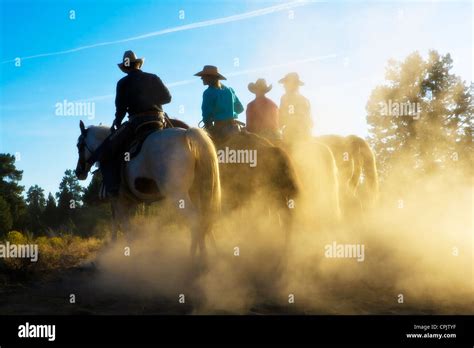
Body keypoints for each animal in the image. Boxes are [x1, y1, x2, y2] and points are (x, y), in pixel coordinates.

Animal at [74, 120, 222, 258]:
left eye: (79, 145)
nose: (78, 172)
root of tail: (185, 134)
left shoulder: (118, 201)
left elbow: (124, 227)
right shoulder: (127, 203)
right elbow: (121, 225)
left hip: (179, 196)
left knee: (195, 220)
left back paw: (195, 255)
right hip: (195, 192)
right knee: (204, 218)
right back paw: (211, 251)